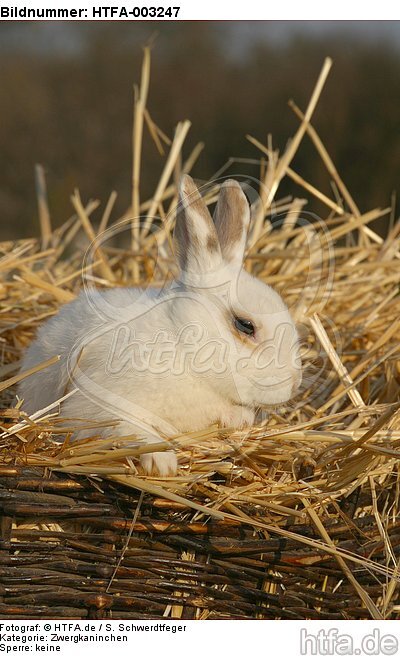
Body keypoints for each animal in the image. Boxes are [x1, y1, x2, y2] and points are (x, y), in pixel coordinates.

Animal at [17, 176, 302, 476]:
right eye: (245, 325)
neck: (183, 349)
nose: (295, 383)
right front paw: (162, 463)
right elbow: (130, 430)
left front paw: (239, 419)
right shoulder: (99, 406)